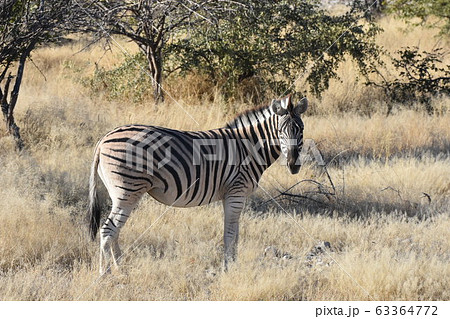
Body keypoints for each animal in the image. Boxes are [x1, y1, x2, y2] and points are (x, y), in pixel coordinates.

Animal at [87, 94, 306, 274]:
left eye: (301, 130)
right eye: (280, 131)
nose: (293, 164)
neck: (248, 148)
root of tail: (104, 139)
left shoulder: (232, 195)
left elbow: (235, 234)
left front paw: (232, 264)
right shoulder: (236, 192)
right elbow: (230, 234)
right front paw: (228, 268)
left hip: (124, 193)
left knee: (114, 231)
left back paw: (121, 269)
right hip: (127, 190)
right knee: (107, 230)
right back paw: (106, 273)